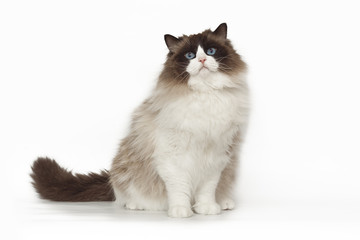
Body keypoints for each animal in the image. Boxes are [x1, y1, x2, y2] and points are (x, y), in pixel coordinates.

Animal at [31, 23, 249, 218]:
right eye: (190, 56)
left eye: (211, 51)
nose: (203, 59)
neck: (205, 95)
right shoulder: (172, 157)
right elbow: (179, 189)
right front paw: (181, 211)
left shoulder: (217, 156)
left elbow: (207, 189)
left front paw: (207, 209)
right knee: (124, 196)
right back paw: (135, 205)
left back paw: (224, 203)